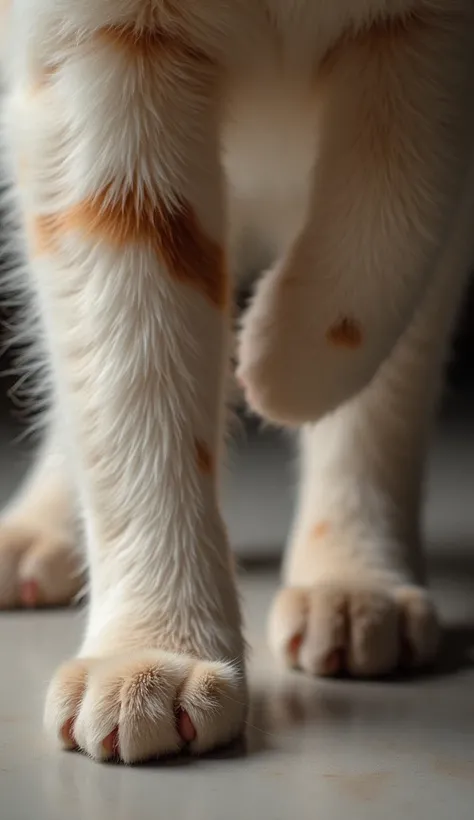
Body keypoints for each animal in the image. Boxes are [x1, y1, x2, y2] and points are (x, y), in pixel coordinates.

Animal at [0, 0, 472, 764]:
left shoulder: (436, 48)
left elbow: (391, 216)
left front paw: (283, 362)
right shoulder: (95, 49)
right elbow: (131, 372)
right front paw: (152, 647)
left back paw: (351, 582)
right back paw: (39, 525)